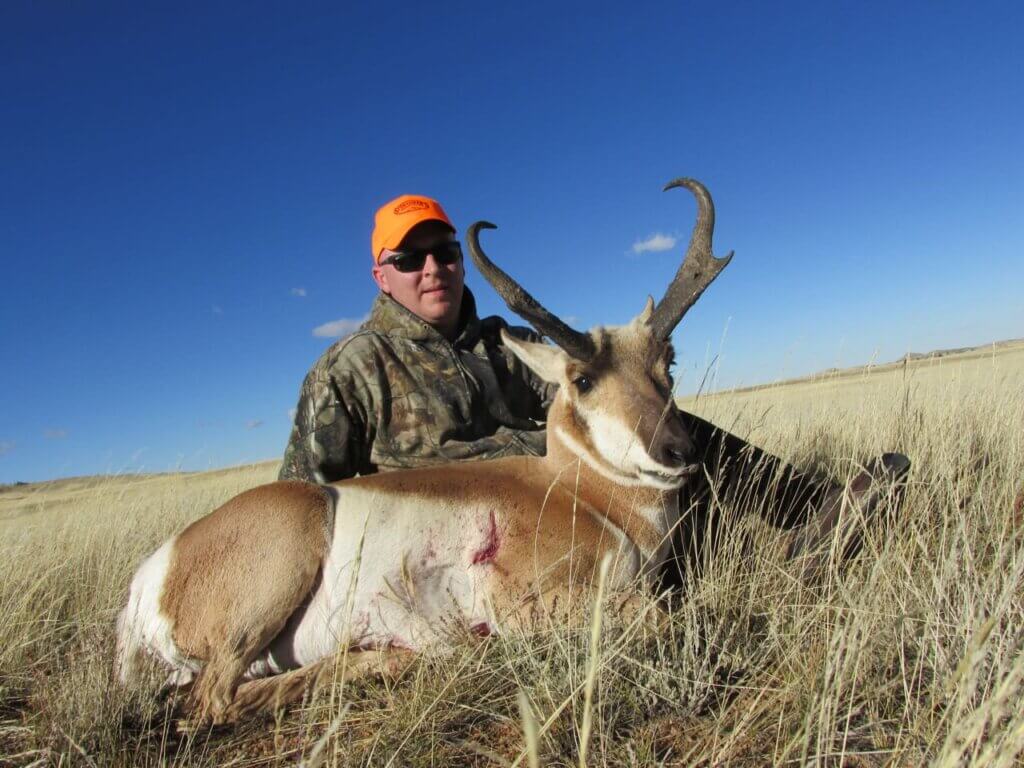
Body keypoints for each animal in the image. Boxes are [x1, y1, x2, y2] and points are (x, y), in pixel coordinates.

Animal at [116, 178, 733, 723]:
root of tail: (151, 576)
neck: (580, 491)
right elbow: (663, 612)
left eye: (668, 363)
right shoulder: (528, 600)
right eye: (581, 380)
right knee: (210, 702)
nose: (678, 451)